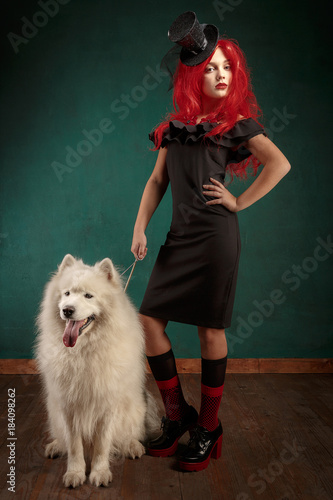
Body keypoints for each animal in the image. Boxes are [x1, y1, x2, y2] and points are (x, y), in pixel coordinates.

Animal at [35, 256, 158, 486]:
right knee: (63, 438)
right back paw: (56, 446)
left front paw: (99, 473)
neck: (83, 351)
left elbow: (102, 445)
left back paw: (133, 446)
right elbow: (74, 446)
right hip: (54, 412)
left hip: (134, 410)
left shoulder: (107, 406)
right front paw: (75, 473)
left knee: (130, 434)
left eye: (88, 295)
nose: (67, 310)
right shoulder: (69, 407)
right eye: (67, 293)